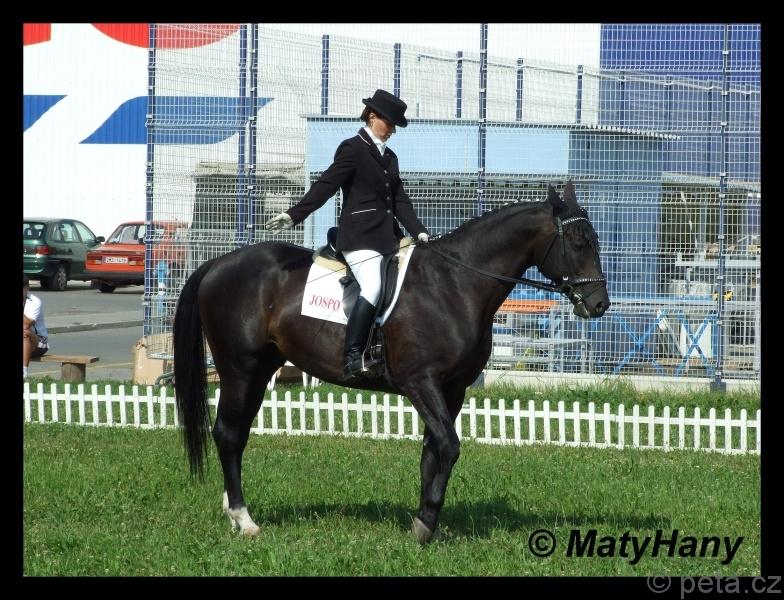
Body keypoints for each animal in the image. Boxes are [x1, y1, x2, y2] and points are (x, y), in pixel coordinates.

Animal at [173, 180, 610, 543]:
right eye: (578, 241)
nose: (599, 305)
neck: (454, 284)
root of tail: (218, 263)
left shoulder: (451, 390)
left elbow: (432, 453)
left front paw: (423, 521)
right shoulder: (421, 382)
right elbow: (449, 446)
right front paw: (426, 526)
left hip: (260, 369)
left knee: (237, 435)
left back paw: (232, 510)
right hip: (239, 369)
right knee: (228, 434)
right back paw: (244, 519)